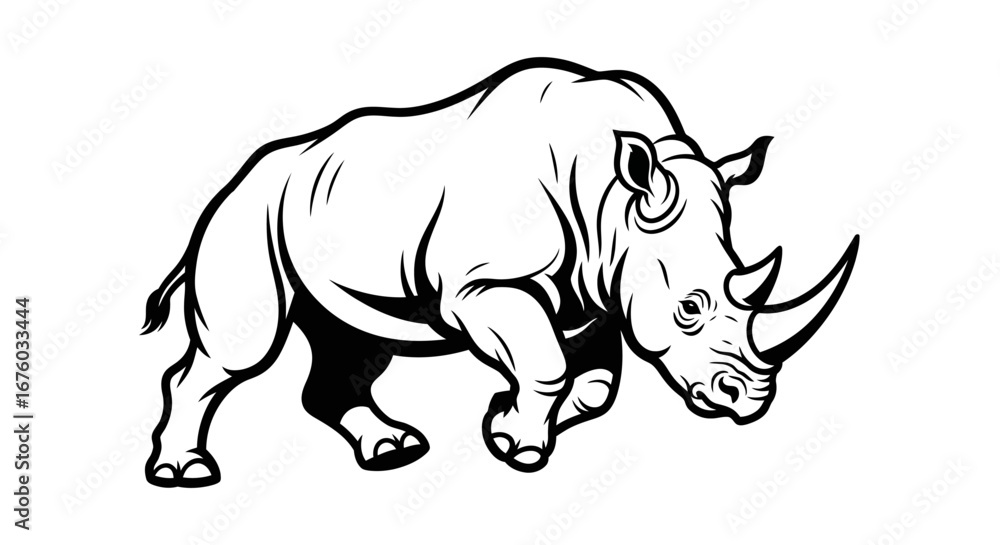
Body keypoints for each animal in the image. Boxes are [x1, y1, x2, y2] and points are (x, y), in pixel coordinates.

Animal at [142, 58, 858, 487]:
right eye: (691, 307)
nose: (751, 403)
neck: (612, 198)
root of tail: (233, 182)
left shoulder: (598, 291)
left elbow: (592, 382)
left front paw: (505, 427)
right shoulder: (482, 286)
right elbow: (545, 364)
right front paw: (519, 446)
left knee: (353, 342)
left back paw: (392, 450)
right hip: (246, 215)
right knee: (240, 352)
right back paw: (184, 472)